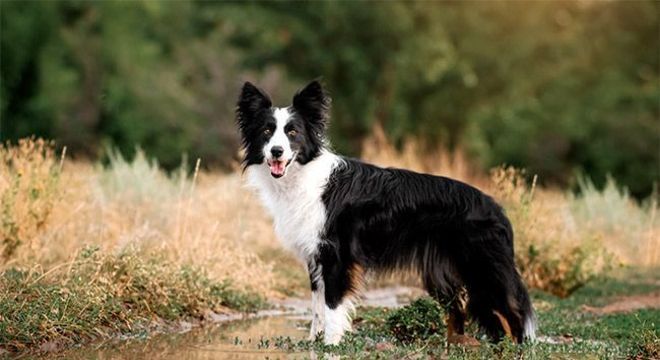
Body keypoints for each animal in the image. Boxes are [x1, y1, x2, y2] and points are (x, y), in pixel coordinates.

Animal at [237, 80, 536, 344]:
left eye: (293, 133)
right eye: (266, 132)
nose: (276, 152)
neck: (302, 174)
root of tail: (496, 208)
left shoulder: (337, 257)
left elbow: (332, 308)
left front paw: (330, 345)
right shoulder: (315, 257)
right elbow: (317, 308)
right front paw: (313, 343)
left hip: (482, 268)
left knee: (513, 314)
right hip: (442, 273)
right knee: (460, 311)